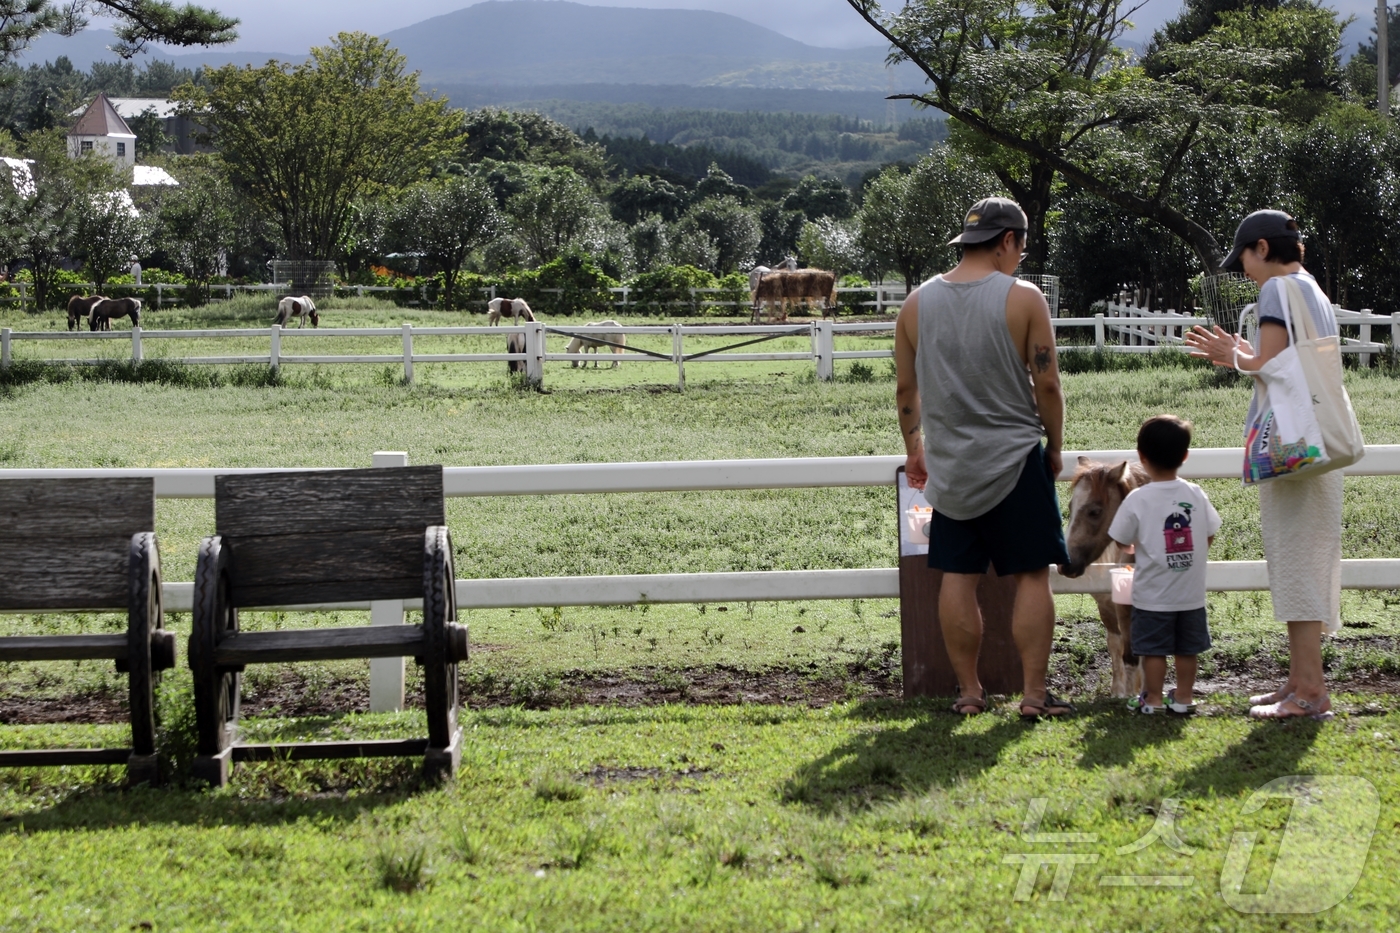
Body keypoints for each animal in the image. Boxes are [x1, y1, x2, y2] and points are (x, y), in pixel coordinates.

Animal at [1058, 453, 1148, 694]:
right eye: (1070, 506)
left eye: (1095, 511)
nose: (1065, 564)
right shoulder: (1113, 607)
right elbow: (1123, 652)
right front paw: (1123, 693)